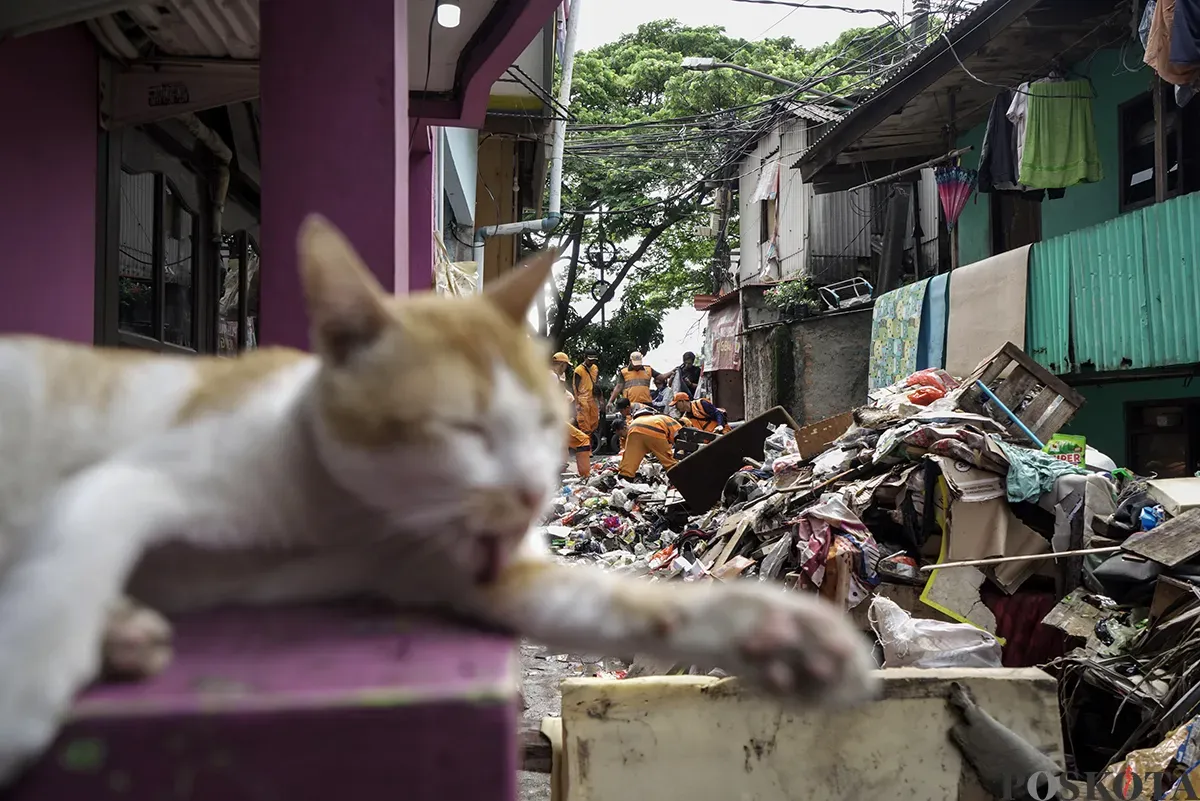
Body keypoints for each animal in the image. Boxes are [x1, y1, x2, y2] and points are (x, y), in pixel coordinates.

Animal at [0, 212, 878, 781]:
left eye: (543, 422)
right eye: (463, 428)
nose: (532, 495)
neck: (345, 514)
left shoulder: (462, 568)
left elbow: (631, 603)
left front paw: (770, 629)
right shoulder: (136, 475)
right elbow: (88, 530)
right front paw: (29, 678)